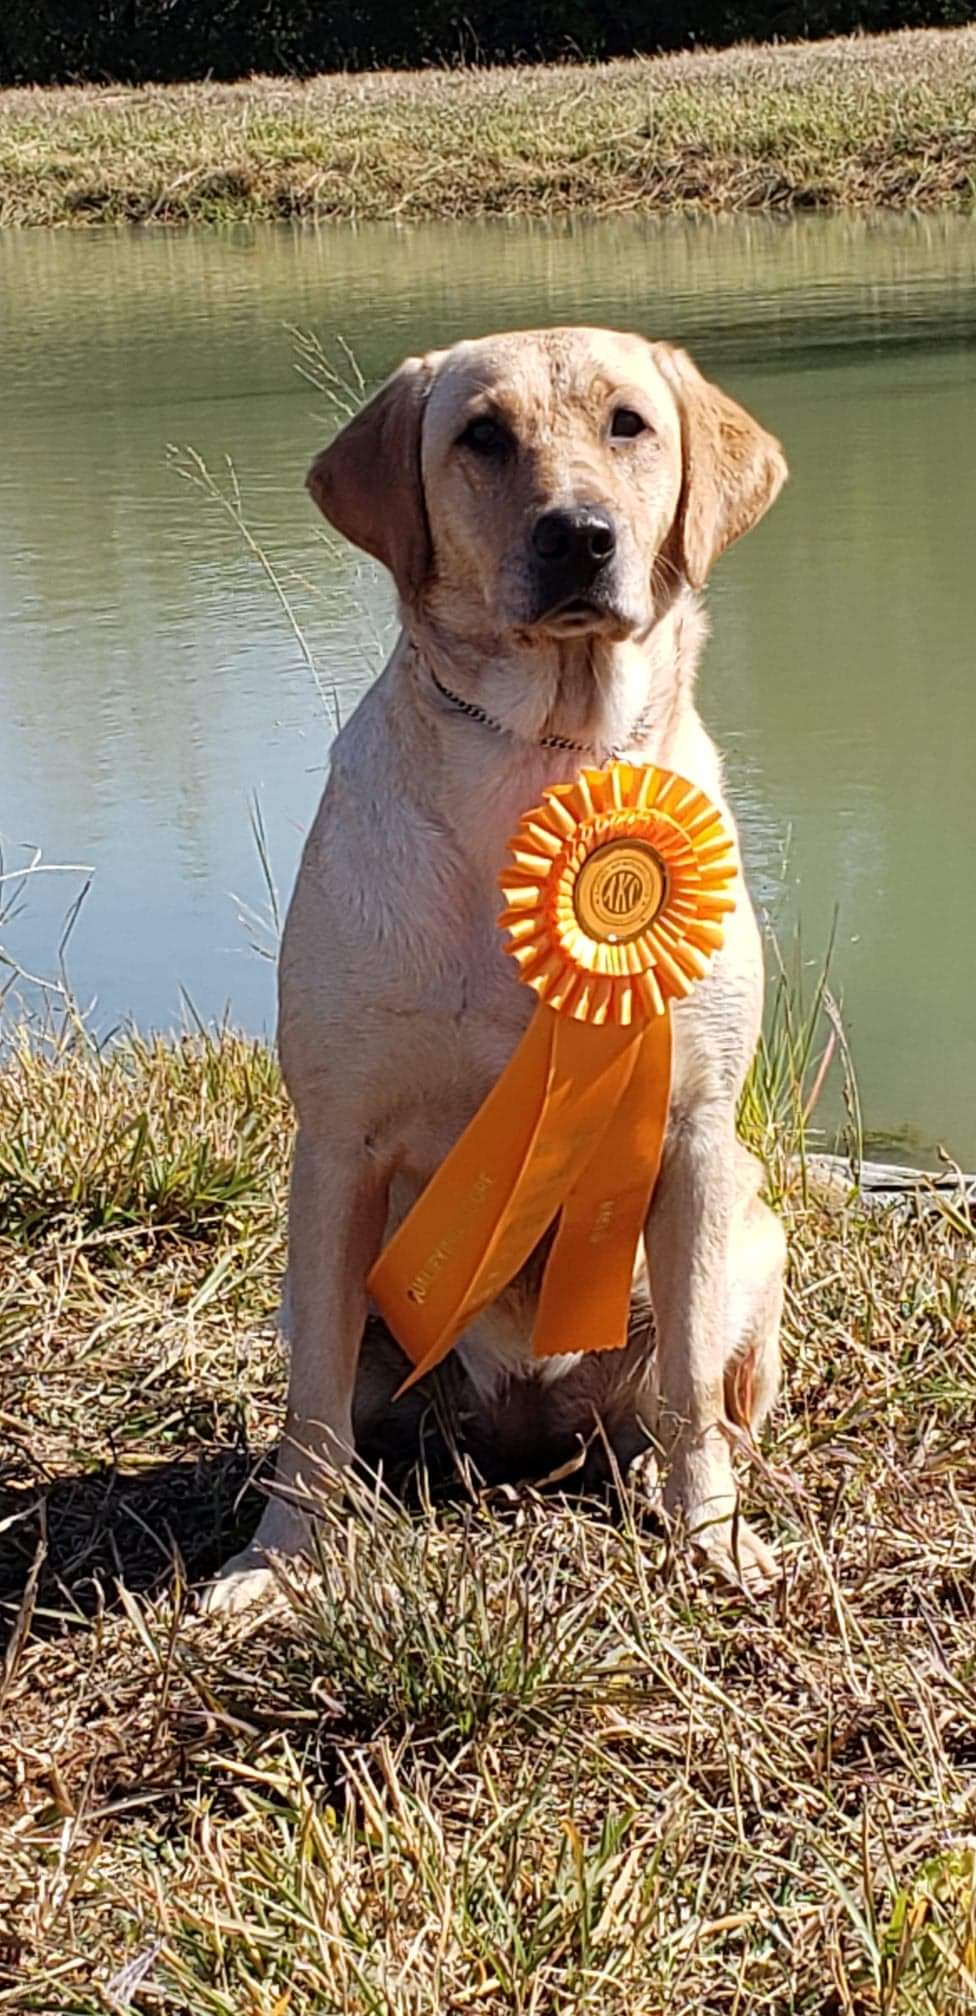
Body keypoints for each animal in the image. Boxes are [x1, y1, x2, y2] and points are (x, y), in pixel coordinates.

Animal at [201, 330, 790, 1620]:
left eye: (629, 424)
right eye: (482, 436)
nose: (579, 536)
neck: (540, 764)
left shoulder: (692, 1130)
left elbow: (686, 1389)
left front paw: (710, 1532)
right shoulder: (338, 1146)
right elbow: (309, 1413)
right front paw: (280, 1559)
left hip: (756, 1228)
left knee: (693, 1398)